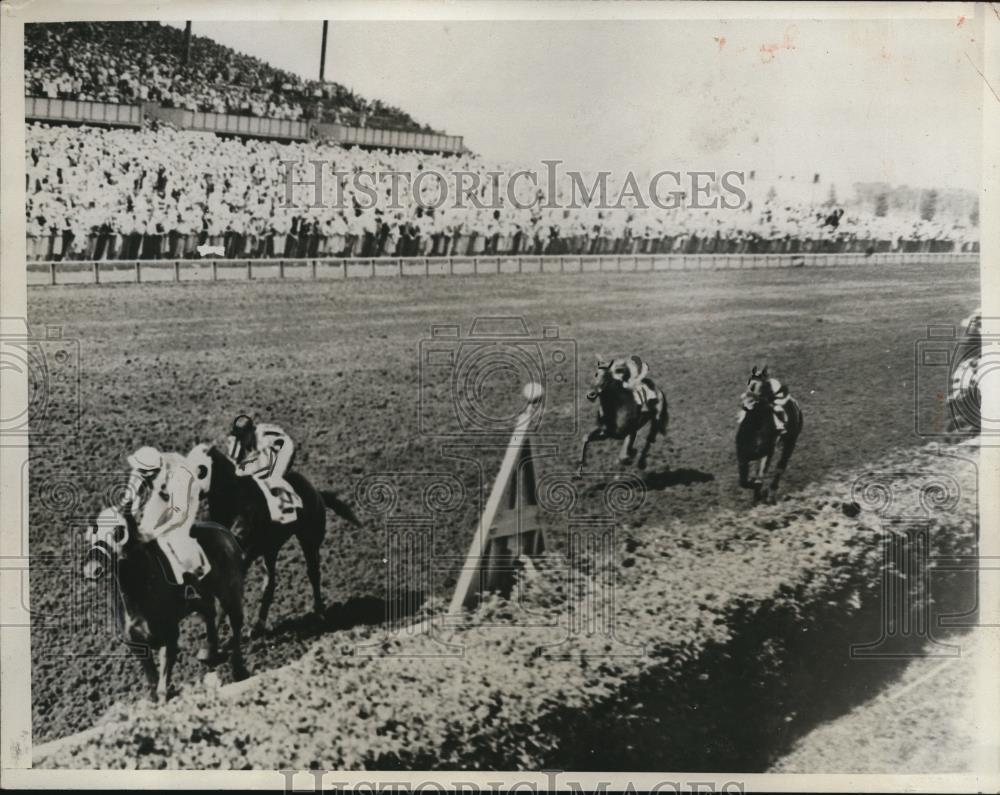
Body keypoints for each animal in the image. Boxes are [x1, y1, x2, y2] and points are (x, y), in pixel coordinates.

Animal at [82, 510, 250, 704]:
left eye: (119, 531)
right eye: (94, 530)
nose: (92, 567)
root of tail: (224, 530)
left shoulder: (169, 639)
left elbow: (162, 688)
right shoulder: (137, 645)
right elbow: (153, 682)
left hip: (230, 592)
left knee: (235, 622)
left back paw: (238, 670)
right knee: (210, 611)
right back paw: (209, 651)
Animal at [201, 444, 362, 636]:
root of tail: (316, 491)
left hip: (309, 541)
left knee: (313, 573)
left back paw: (319, 614)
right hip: (271, 551)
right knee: (270, 584)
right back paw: (258, 625)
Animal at [736, 366, 804, 504]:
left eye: (764, 386)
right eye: (749, 384)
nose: (747, 404)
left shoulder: (767, 453)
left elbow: (759, 478)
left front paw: (761, 492)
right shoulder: (743, 457)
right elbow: (744, 481)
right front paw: (756, 495)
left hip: (790, 442)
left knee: (780, 467)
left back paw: (771, 494)